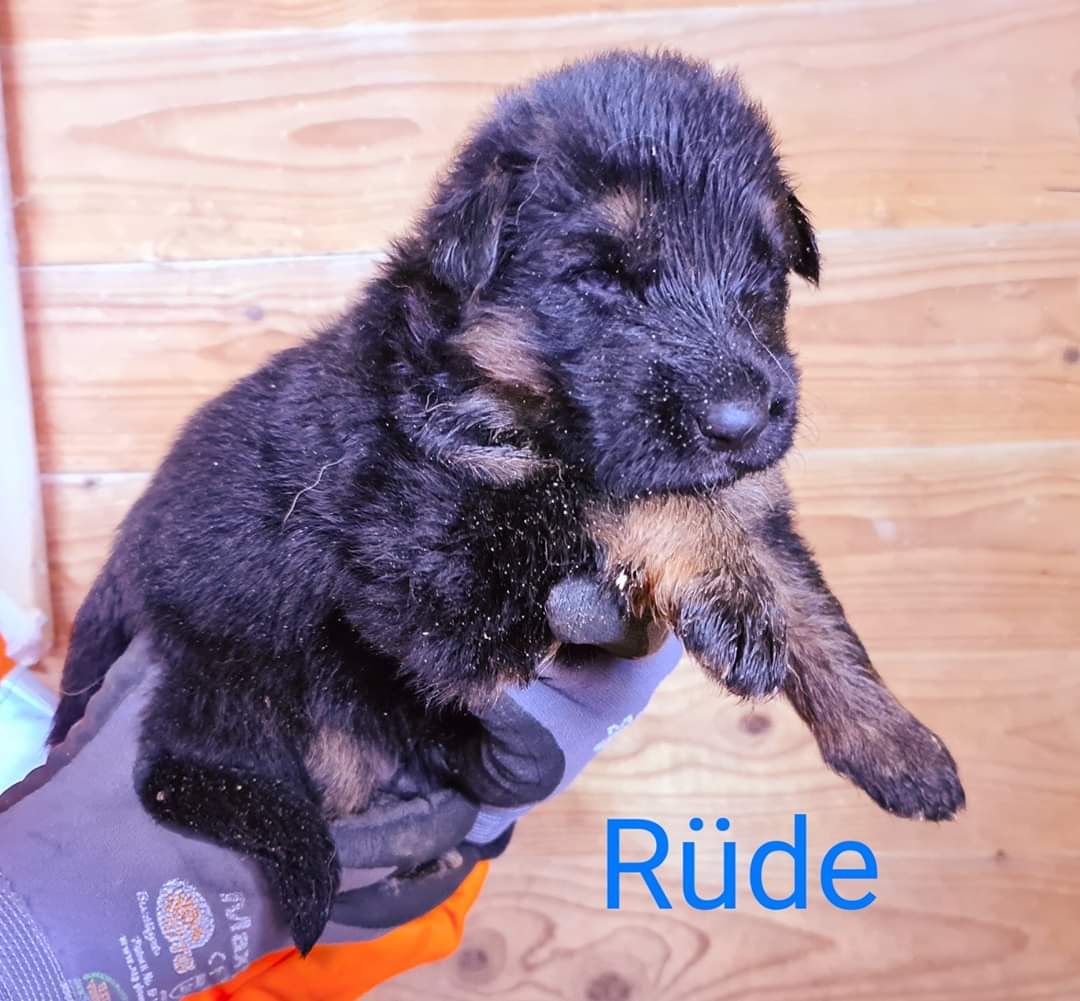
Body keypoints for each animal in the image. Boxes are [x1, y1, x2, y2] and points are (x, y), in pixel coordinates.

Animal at [52, 50, 964, 952]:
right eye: (600, 276)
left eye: (766, 269)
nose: (743, 421)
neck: (492, 377)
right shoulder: (432, 548)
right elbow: (604, 484)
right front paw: (726, 587)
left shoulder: (753, 500)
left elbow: (812, 602)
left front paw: (898, 745)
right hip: (246, 667)